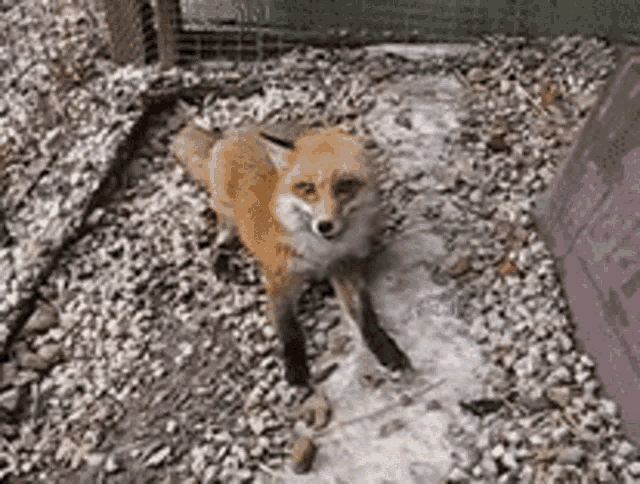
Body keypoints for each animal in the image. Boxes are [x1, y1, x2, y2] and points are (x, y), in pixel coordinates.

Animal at [171, 121, 412, 387]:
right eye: (307, 188)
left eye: (344, 186)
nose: (324, 225)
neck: (321, 254)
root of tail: (230, 135)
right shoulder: (280, 276)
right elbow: (289, 327)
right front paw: (295, 367)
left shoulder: (345, 266)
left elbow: (366, 316)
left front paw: (385, 348)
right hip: (229, 216)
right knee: (220, 238)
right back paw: (221, 263)